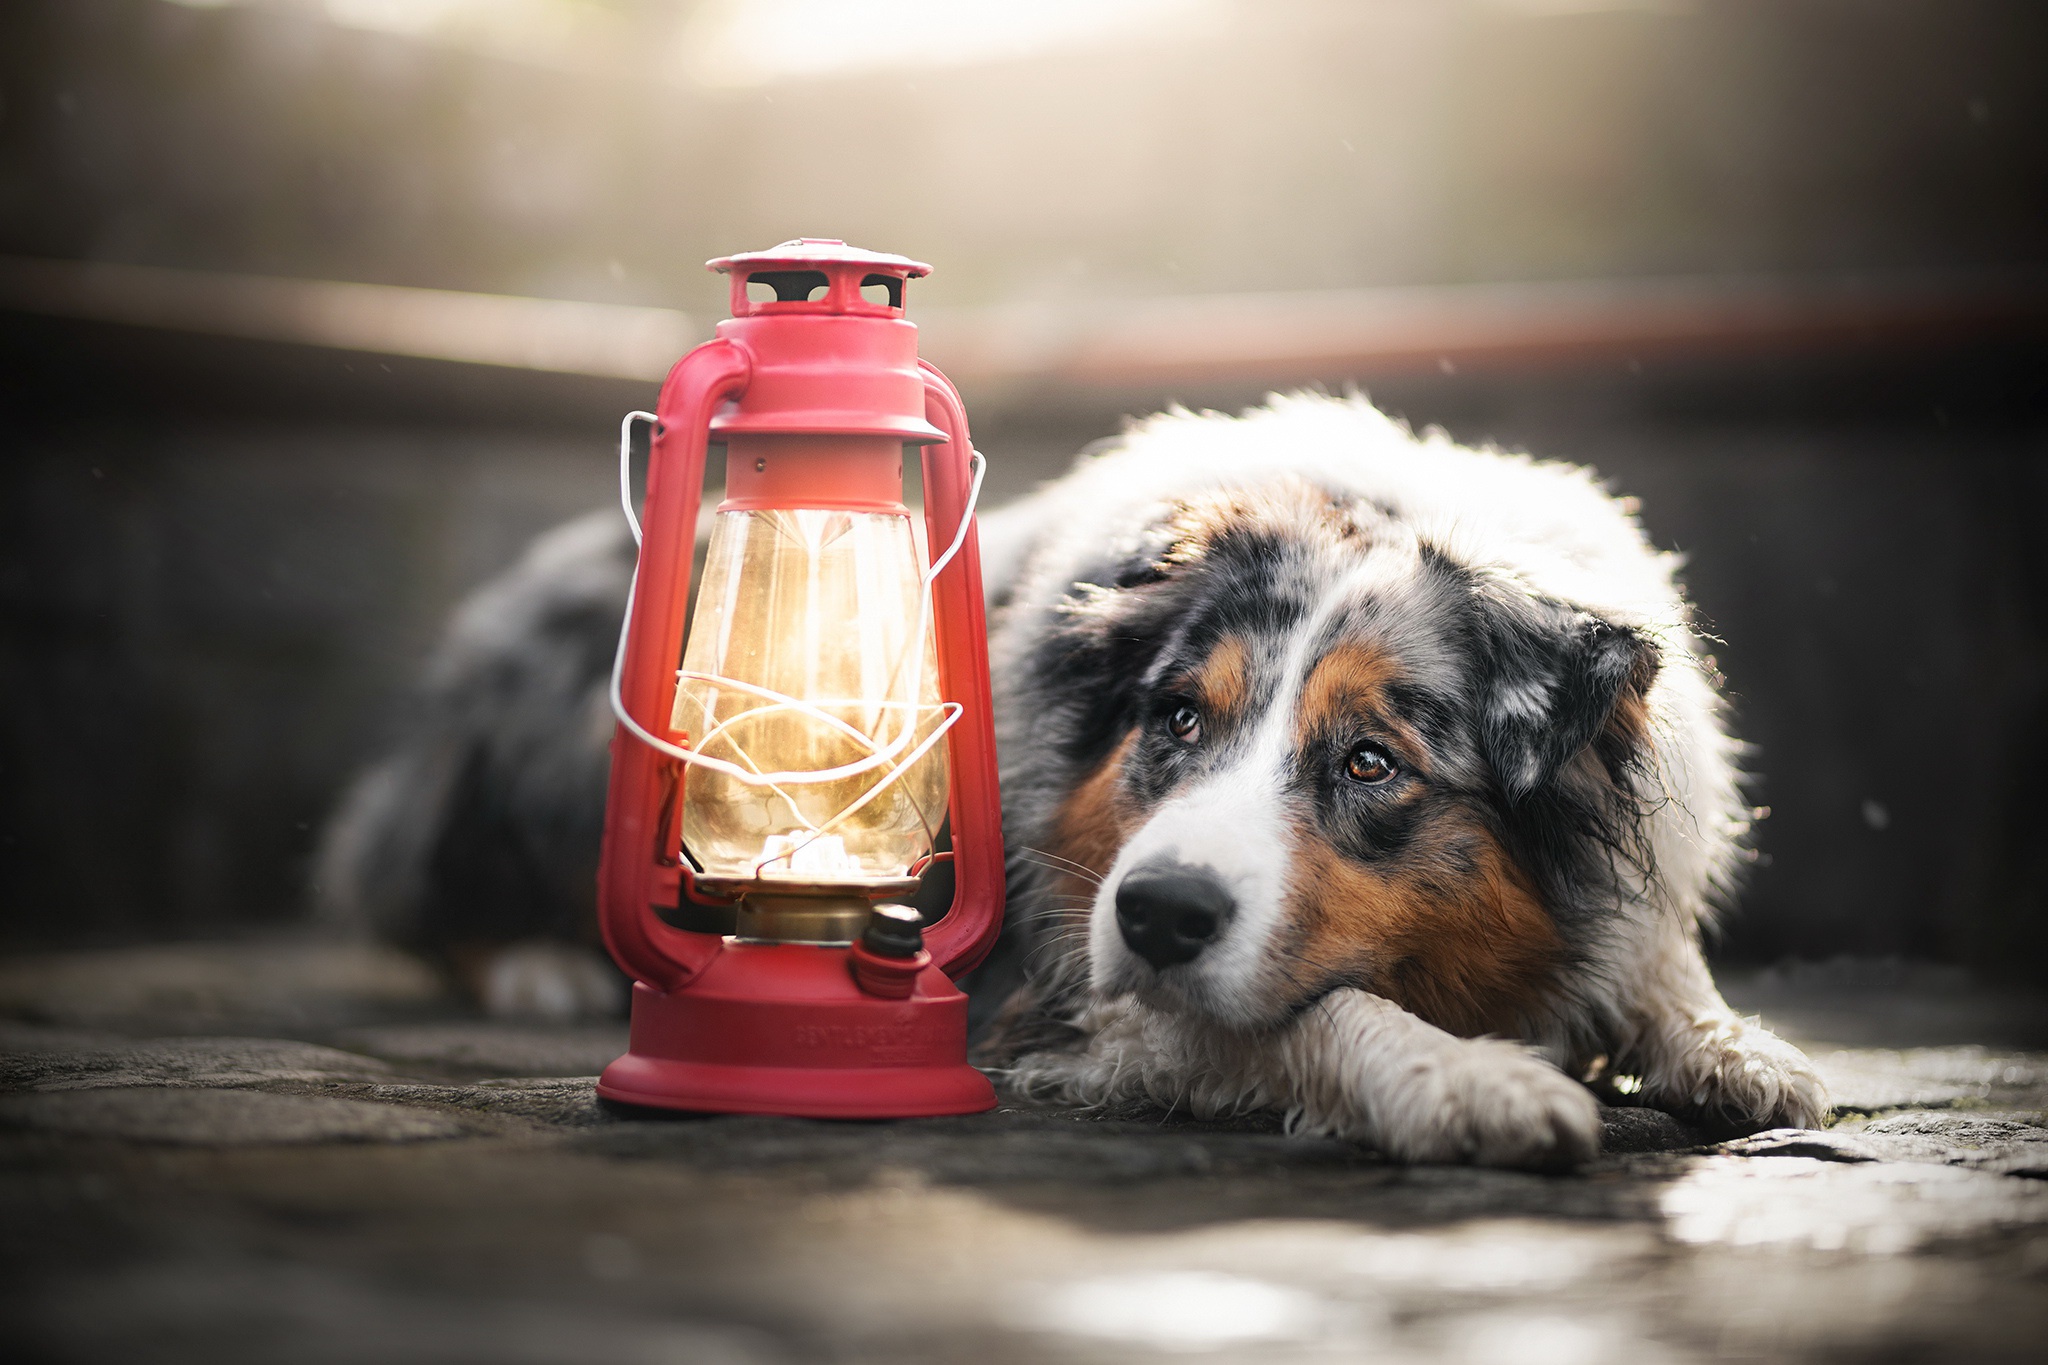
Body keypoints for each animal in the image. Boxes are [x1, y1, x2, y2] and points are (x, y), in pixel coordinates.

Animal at [315, 388, 1826, 1170]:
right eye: (1175, 716)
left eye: (1370, 761)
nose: (1156, 915)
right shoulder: (1072, 1002)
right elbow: (1315, 1014)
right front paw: (1468, 1085)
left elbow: (1657, 961)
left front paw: (1735, 1046)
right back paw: (538, 966)